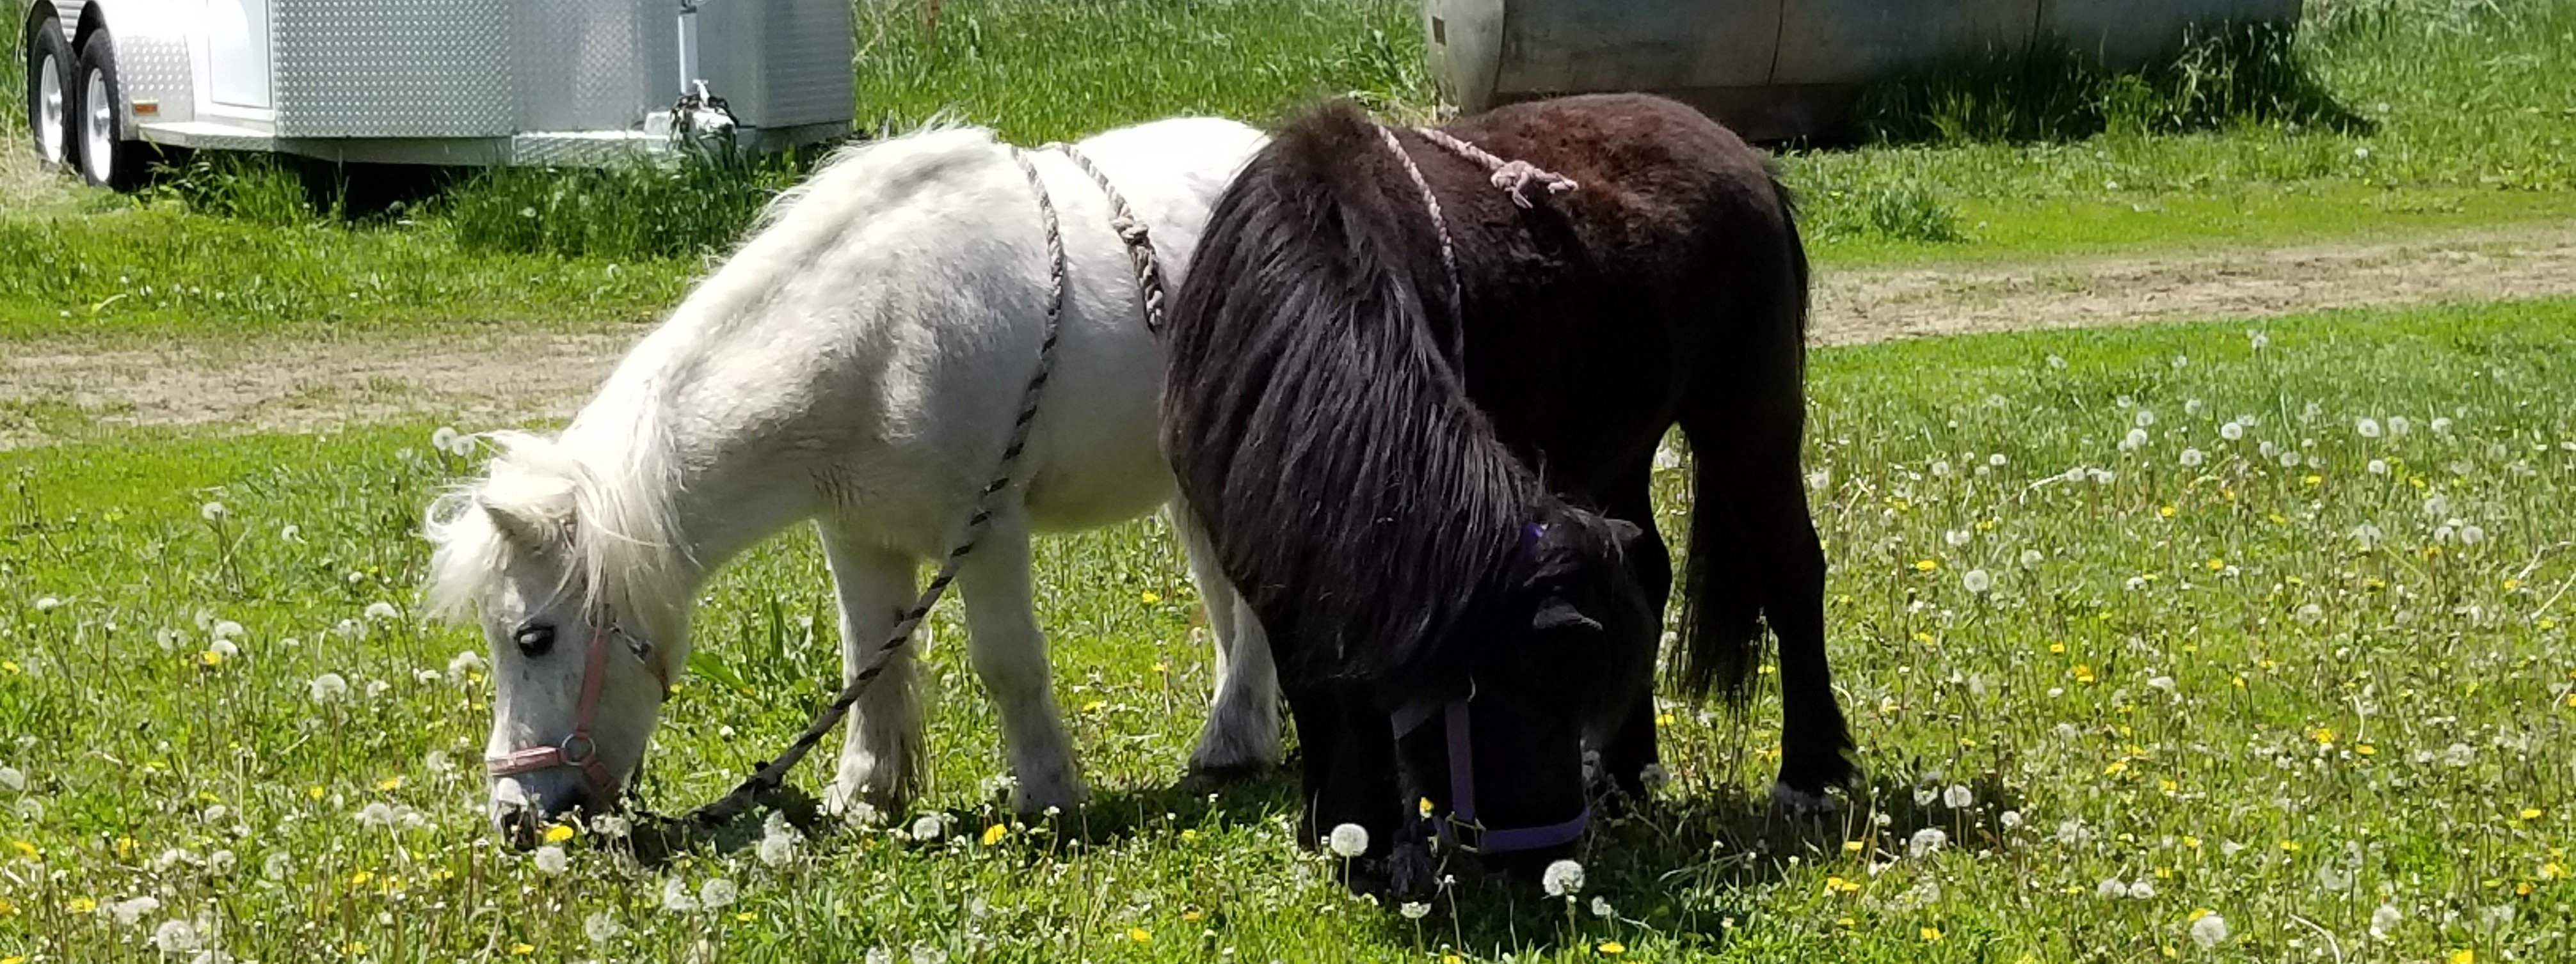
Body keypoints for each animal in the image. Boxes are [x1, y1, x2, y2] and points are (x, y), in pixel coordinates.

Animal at [423, 115, 1281, 844]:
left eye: (532, 637)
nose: (514, 816)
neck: (877, 337)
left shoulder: (988, 528)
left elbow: (1006, 661)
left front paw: (1048, 795)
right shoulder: (857, 536)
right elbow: (870, 662)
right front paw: (867, 793)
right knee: (1224, 600)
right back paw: (1237, 737)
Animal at [1160, 93, 1855, 881]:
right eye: (1528, 702)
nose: (1551, 858)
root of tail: (1748, 160)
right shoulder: (1274, 563)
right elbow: (1320, 684)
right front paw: (1348, 836)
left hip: (1748, 420)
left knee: (1792, 570)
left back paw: (1806, 777)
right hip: (1619, 454)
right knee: (1649, 575)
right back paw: (1624, 776)